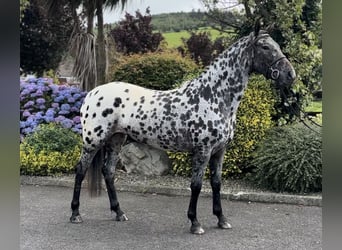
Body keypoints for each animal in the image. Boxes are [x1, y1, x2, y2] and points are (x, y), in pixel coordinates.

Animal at [69, 24, 294, 234]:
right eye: (265, 47)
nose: (290, 75)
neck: (212, 96)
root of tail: (92, 93)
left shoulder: (219, 151)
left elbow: (216, 183)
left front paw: (222, 220)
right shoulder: (202, 151)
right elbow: (196, 185)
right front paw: (195, 223)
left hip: (116, 139)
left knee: (108, 172)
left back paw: (119, 213)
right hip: (92, 141)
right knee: (80, 171)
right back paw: (75, 214)